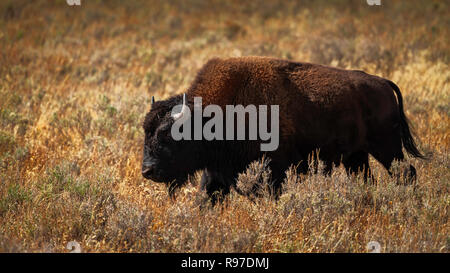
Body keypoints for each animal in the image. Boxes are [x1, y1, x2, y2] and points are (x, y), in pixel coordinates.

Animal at [142, 56, 424, 203]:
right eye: (146, 131)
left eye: (169, 134)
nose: (147, 170)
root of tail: (383, 83)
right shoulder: (218, 168)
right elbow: (208, 195)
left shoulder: (276, 164)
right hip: (356, 156)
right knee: (367, 177)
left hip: (386, 147)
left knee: (405, 171)